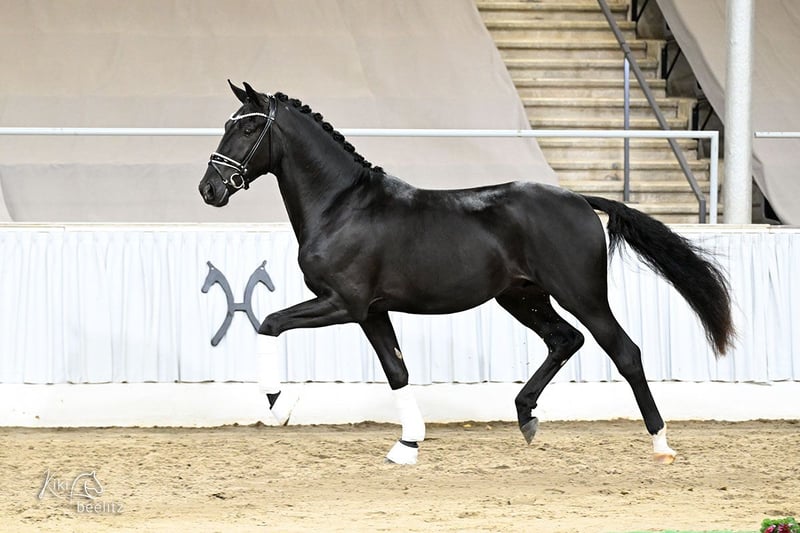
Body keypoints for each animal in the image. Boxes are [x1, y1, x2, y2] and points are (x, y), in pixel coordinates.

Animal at [199, 81, 735, 465]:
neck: (342, 206)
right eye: (227, 123)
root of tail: (581, 200)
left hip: (582, 295)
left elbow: (269, 323)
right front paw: (406, 446)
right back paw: (526, 417)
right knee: (565, 340)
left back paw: (661, 444)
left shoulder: (342, 302)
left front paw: (278, 404)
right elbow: (397, 370)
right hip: (522, 297)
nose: (210, 189)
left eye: (247, 129)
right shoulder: (371, 311)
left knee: (624, 351)